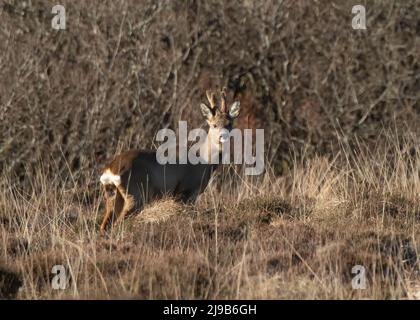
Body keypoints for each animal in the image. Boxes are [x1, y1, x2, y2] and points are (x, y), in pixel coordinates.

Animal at [99, 89, 241, 231]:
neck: (204, 161)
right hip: (135, 193)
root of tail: (110, 169)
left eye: (229, 124)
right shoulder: (187, 190)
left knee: (104, 225)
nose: (223, 136)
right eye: (214, 125)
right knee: (118, 223)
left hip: (114, 195)